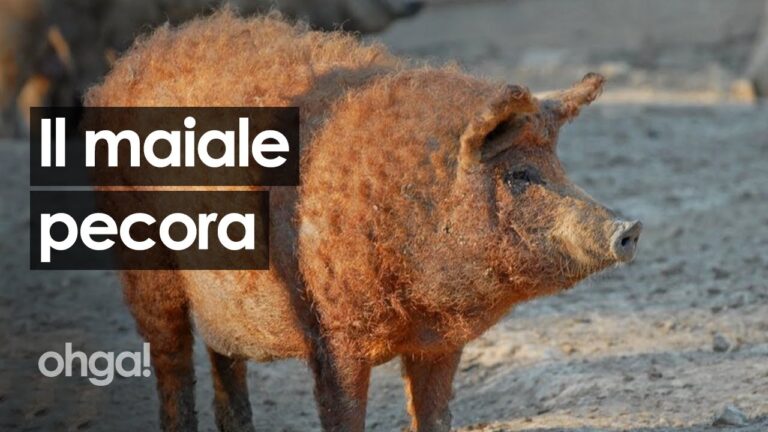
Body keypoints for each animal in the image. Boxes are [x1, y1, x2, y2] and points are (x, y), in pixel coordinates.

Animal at [84, 10, 642, 432]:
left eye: (559, 167)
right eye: (520, 174)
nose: (629, 228)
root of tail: (124, 63)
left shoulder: (440, 343)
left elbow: (434, 415)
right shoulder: (331, 330)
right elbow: (343, 411)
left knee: (222, 355)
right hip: (139, 250)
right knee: (171, 358)